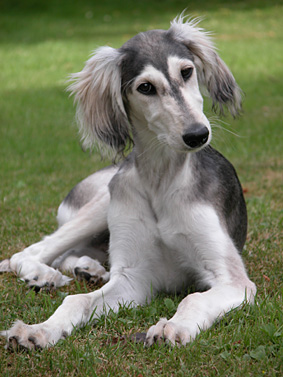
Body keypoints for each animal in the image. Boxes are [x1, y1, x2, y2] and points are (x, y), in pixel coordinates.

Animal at [0, 16, 258, 348]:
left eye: (187, 72)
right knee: (31, 251)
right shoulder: (134, 278)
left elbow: (193, 299)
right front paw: (38, 330)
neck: (162, 178)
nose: (198, 135)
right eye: (145, 87)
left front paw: (173, 327)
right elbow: (76, 301)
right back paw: (47, 275)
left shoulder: (233, 280)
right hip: (105, 201)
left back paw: (86, 268)